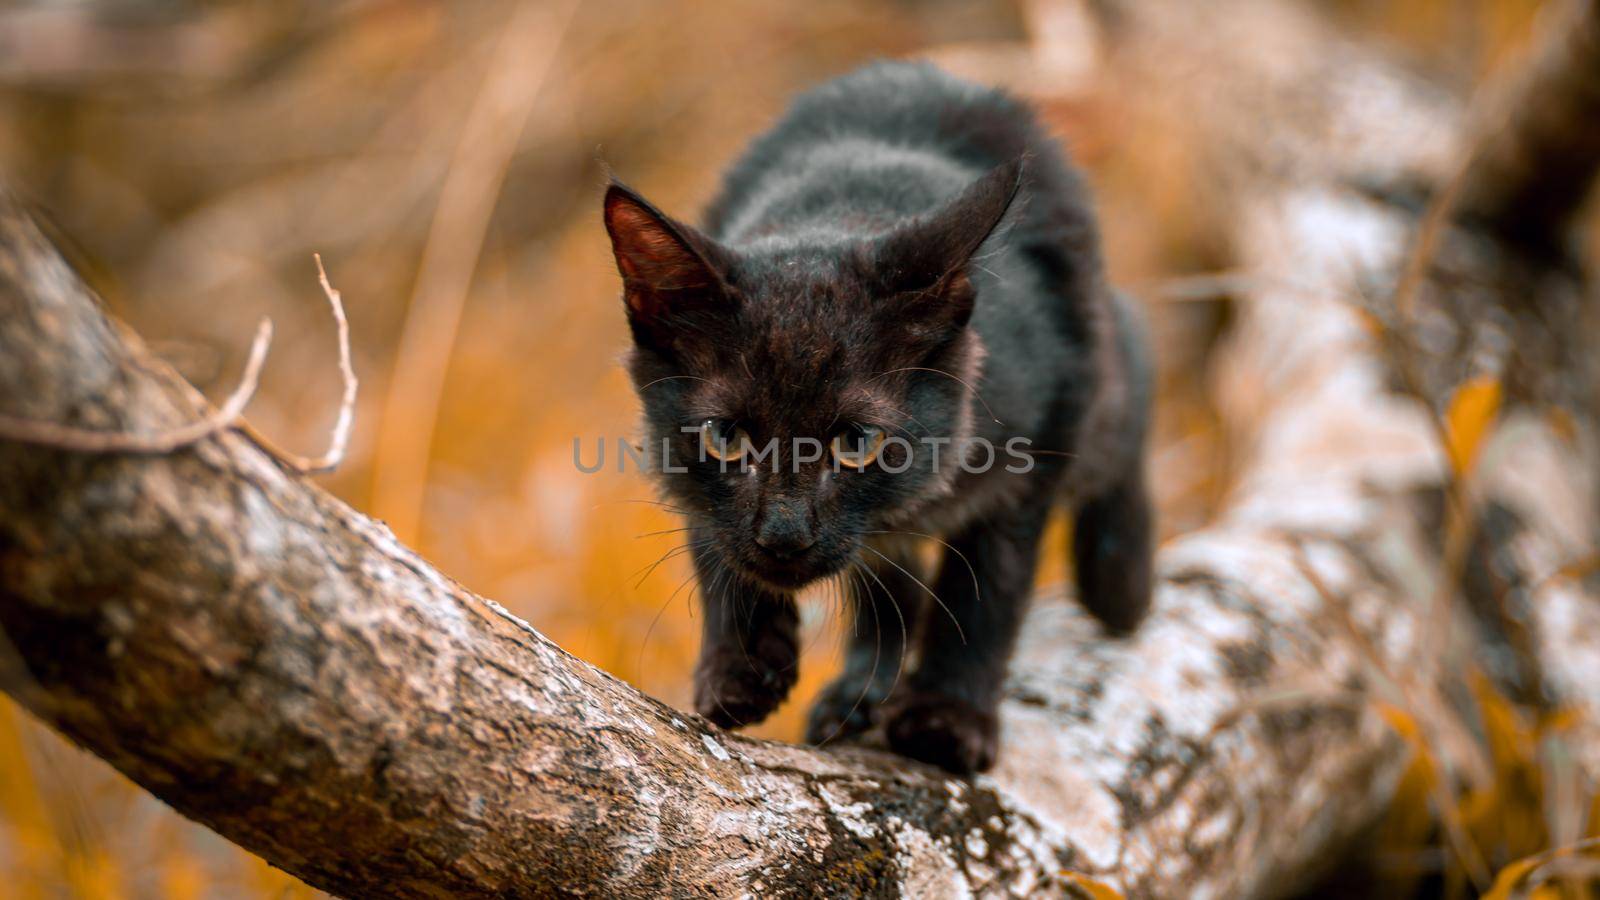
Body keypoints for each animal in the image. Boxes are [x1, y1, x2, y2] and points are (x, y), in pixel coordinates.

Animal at [601, 61, 1152, 771]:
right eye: (726, 437)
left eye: (858, 441)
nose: (784, 536)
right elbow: (712, 532)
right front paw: (740, 662)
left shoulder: (1036, 445)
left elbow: (986, 589)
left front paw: (949, 717)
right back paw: (857, 694)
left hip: (1090, 366)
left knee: (1132, 355)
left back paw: (1121, 577)